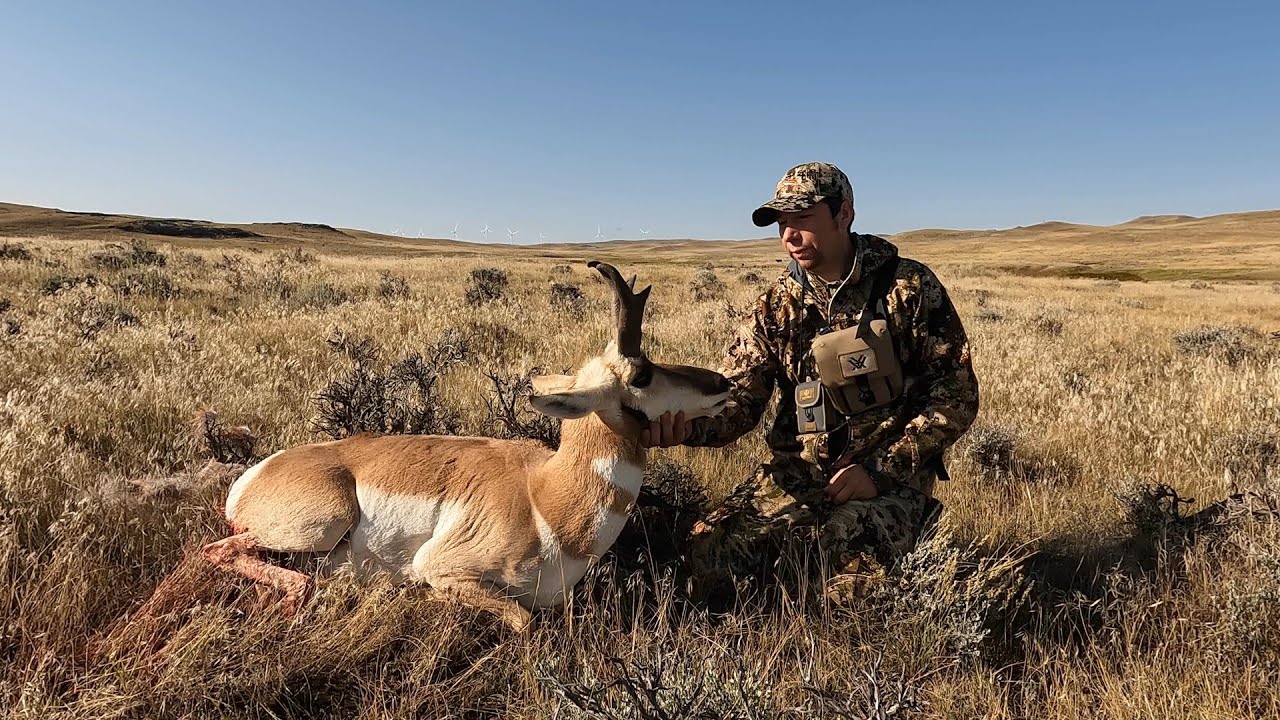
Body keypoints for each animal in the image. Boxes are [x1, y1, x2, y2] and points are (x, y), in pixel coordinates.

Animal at [201, 261, 731, 629]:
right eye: (642, 375)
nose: (723, 381)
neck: (544, 496)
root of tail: (254, 474)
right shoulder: (444, 567)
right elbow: (522, 620)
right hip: (323, 523)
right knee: (222, 552)